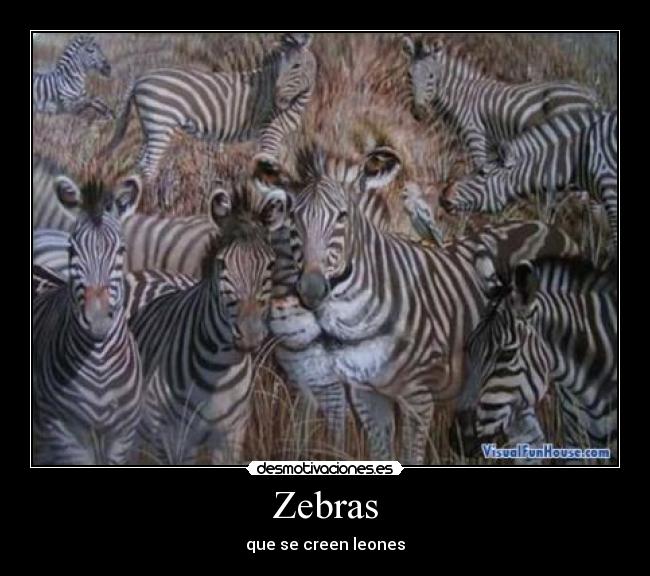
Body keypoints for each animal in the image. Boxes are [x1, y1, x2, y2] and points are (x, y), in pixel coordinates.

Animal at [32, 175, 143, 465]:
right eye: (71, 249)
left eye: (121, 250)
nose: (97, 319)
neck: (99, 360)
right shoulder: (63, 431)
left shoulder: (122, 435)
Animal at [102, 33, 316, 195]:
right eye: (279, 68)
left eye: (296, 66)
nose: (277, 101)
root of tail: (139, 79)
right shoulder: (270, 132)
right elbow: (268, 168)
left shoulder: (276, 136)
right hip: (161, 125)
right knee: (149, 167)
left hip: (150, 128)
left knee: (139, 164)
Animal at [129, 182, 287, 465]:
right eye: (222, 264)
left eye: (270, 264)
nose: (250, 335)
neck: (218, 368)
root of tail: (146, 272)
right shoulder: (175, 440)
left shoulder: (232, 437)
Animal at [267, 146, 581, 464]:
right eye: (293, 218)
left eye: (342, 216)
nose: (310, 289)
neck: (358, 318)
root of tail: (551, 227)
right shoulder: (366, 394)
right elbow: (382, 454)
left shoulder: (418, 397)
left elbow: (411, 456)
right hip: (512, 384)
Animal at [403, 37, 600, 171]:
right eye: (409, 75)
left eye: (431, 77)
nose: (418, 112)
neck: (460, 94)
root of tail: (591, 94)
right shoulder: (488, 144)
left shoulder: (475, 134)